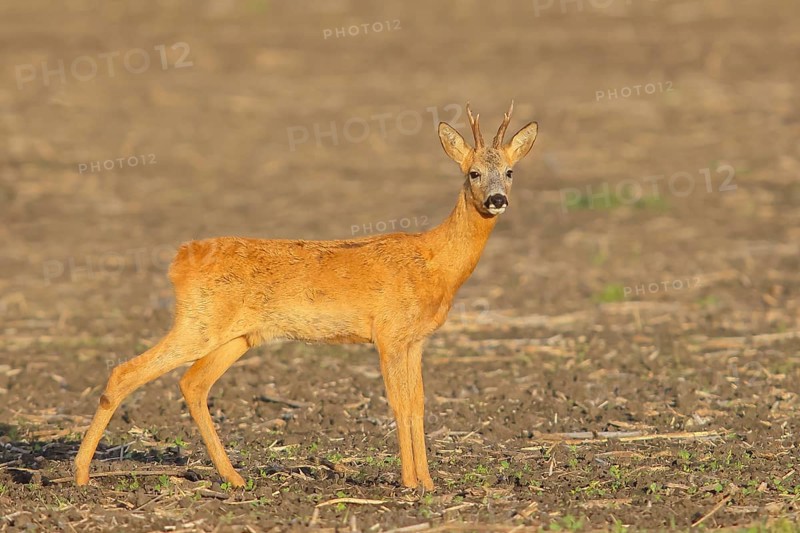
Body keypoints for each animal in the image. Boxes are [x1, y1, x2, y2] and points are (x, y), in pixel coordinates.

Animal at [74, 102, 538, 491]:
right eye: (473, 172)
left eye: (510, 172)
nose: (497, 199)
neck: (436, 261)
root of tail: (179, 259)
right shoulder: (388, 334)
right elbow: (399, 405)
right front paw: (410, 483)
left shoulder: (415, 340)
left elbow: (419, 405)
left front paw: (428, 482)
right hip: (198, 323)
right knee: (125, 372)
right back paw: (80, 475)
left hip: (236, 336)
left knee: (192, 384)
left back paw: (234, 478)